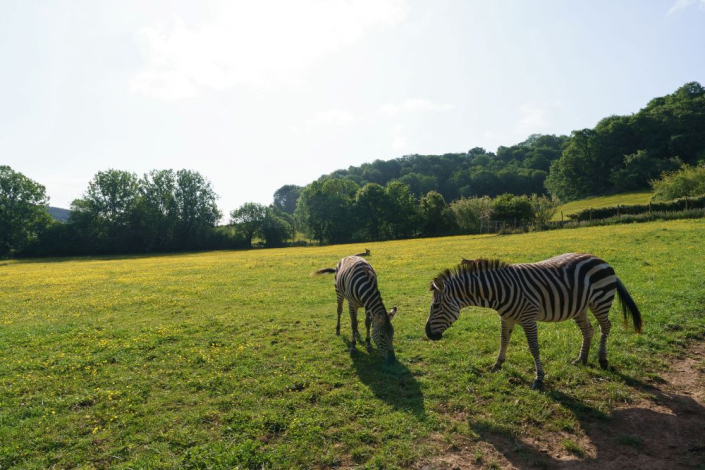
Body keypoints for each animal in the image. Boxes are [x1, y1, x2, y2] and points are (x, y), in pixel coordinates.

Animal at [424, 253, 644, 390]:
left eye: (436, 306)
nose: (428, 334)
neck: (498, 291)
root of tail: (600, 259)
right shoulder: (506, 318)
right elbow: (503, 340)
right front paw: (497, 364)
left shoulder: (529, 318)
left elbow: (534, 347)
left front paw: (539, 378)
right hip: (580, 307)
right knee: (588, 330)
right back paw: (581, 359)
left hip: (600, 300)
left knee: (605, 326)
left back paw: (602, 360)